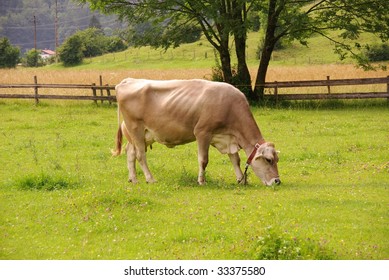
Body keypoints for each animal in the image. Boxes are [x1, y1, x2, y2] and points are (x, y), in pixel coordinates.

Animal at [111, 77, 278, 186]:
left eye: (277, 159)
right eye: (268, 159)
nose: (277, 181)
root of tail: (127, 81)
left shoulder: (227, 137)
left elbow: (235, 159)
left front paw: (241, 179)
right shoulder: (203, 132)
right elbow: (203, 160)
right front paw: (201, 181)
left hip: (142, 135)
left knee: (131, 153)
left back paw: (133, 179)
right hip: (136, 129)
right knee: (140, 155)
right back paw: (150, 178)